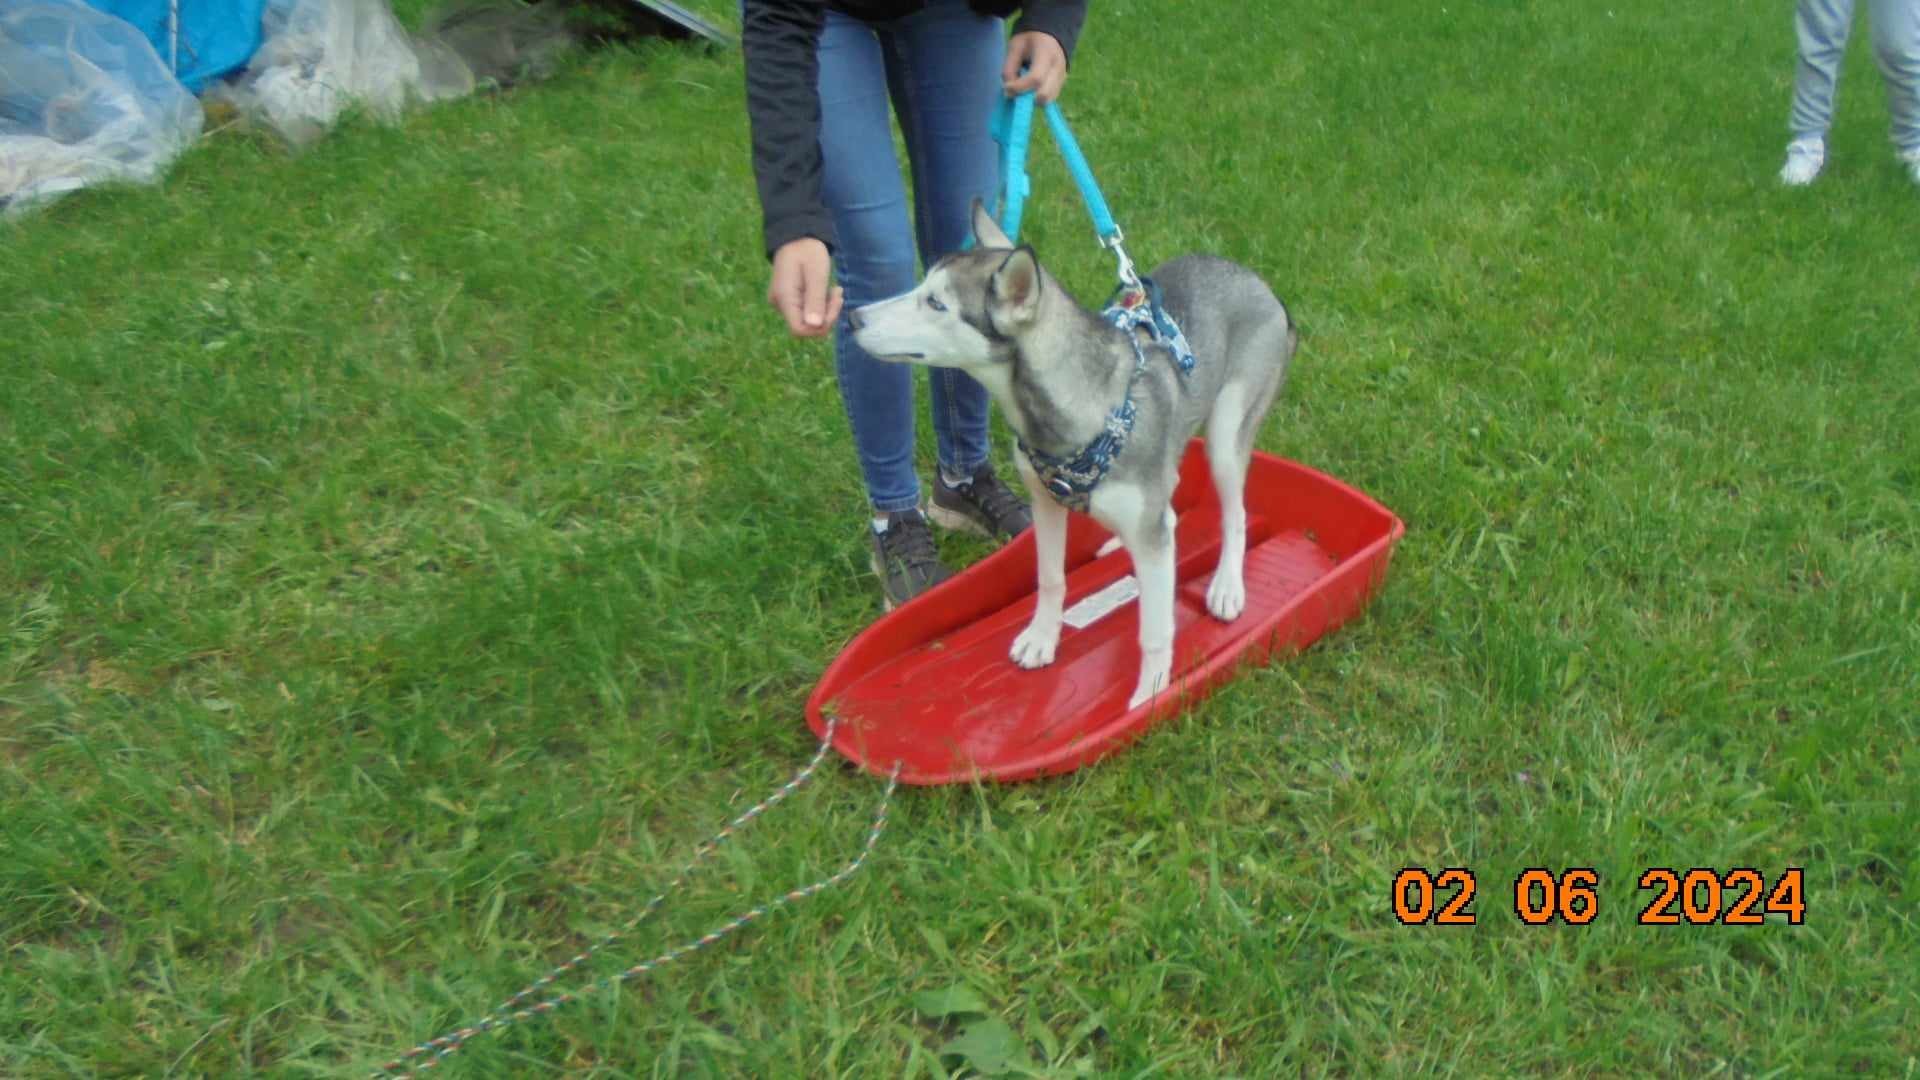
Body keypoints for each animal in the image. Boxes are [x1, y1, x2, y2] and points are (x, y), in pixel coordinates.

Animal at [852, 200, 1290, 707]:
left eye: (937, 304)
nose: (853, 317)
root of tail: (1257, 281)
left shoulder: (1149, 529)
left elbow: (1155, 629)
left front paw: (1151, 693)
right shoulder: (1044, 503)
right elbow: (1050, 578)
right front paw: (1042, 639)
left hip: (1227, 430)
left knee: (1234, 512)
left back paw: (1226, 586)